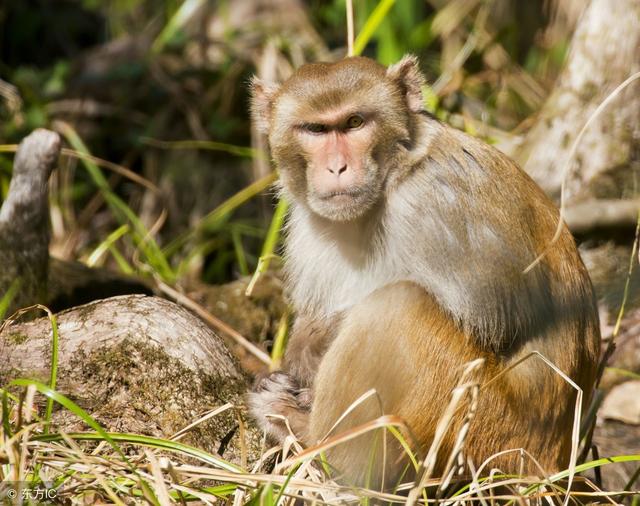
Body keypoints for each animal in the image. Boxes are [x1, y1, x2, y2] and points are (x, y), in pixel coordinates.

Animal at [246, 54, 600, 486]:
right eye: (316, 129)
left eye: (354, 123)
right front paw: (299, 353)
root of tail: (553, 461)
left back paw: (311, 436)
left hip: (488, 433)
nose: (337, 167)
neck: (393, 174)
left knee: (398, 306)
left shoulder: (439, 201)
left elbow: (496, 318)